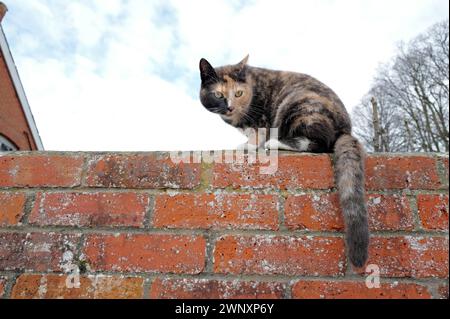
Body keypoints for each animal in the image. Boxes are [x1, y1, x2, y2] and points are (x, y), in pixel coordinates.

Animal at [200, 55, 370, 268]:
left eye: (238, 93)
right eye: (218, 94)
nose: (230, 107)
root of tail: (346, 130)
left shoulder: (261, 117)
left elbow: (257, 133)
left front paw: (248, 146)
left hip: (296, 103)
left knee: (318, 142)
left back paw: (276, 143)